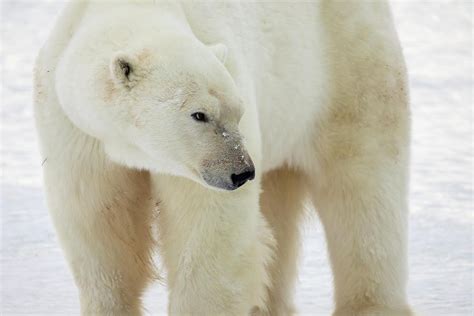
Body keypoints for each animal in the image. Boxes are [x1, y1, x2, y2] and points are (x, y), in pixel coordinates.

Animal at [34, 0, 412, 316]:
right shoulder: (75, 132)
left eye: (237, 111)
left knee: (363, 188)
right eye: (199, 114)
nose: (242, 172)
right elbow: (98, 222)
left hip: (342, 68)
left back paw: (372, 306)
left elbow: (209, 231)